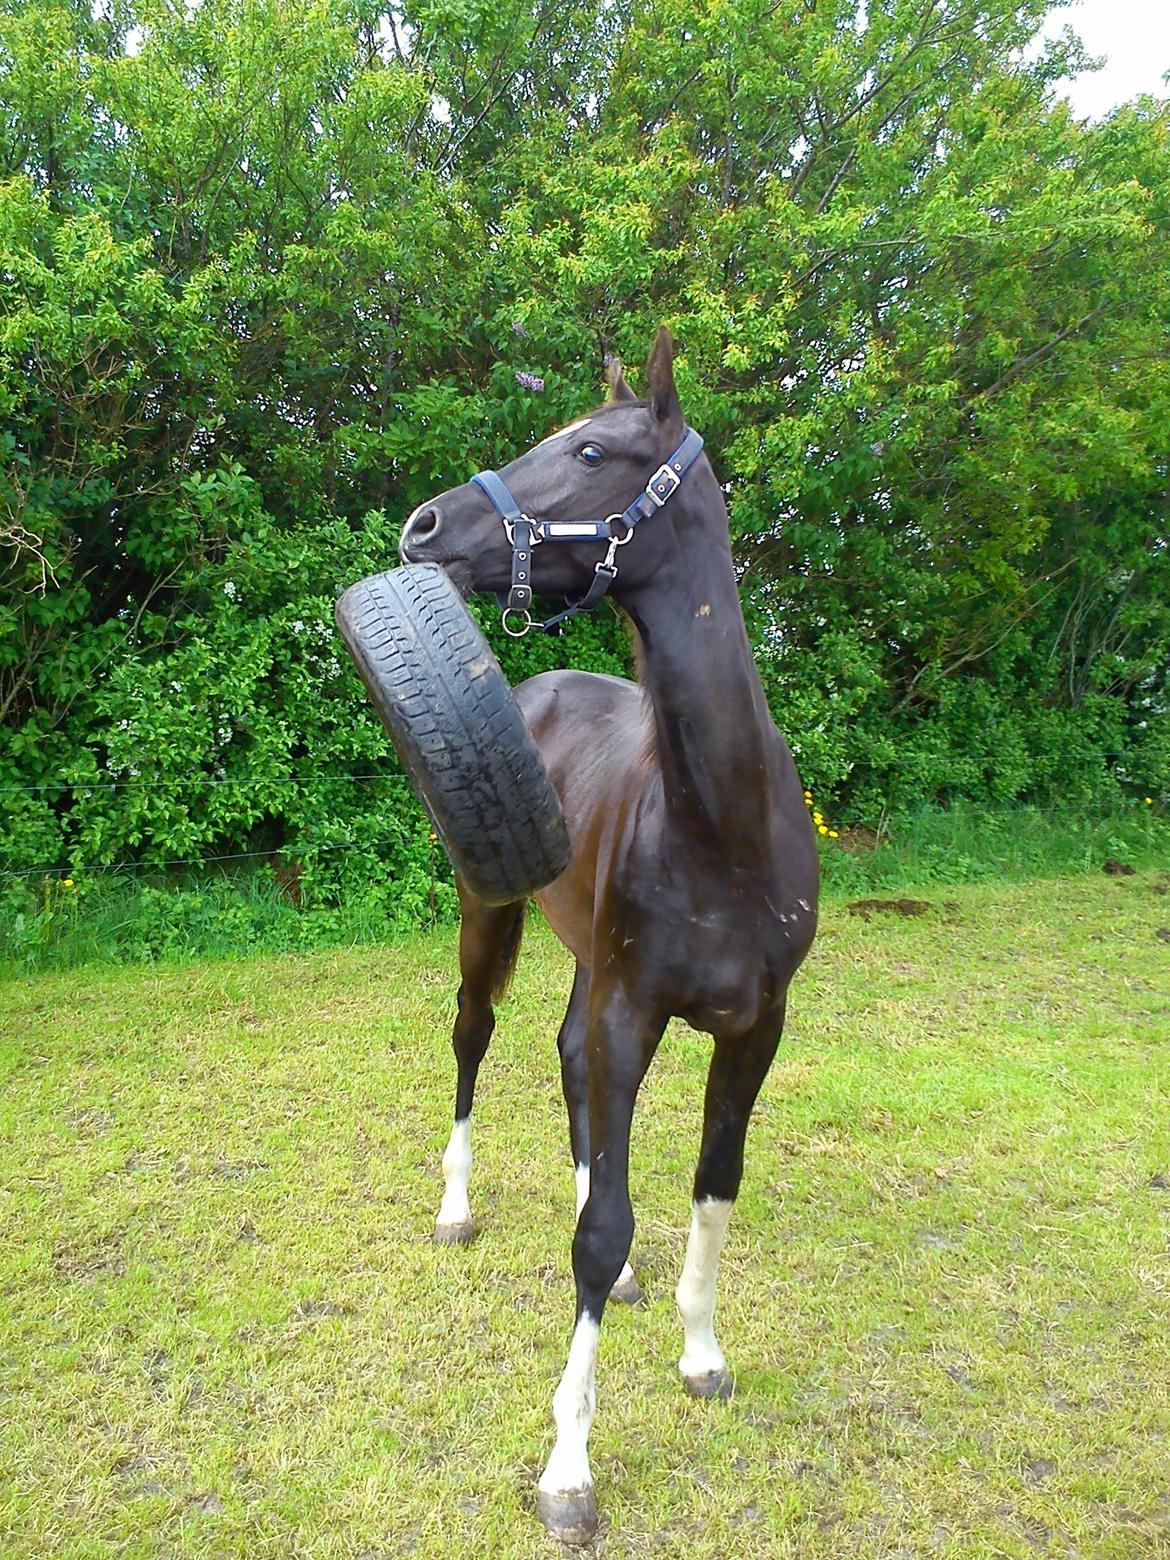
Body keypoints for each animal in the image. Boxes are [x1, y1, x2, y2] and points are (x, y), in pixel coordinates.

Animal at [399, 322, 817, 1541]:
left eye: (589, 451)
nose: (424, 528)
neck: (722, 826)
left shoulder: (755, 1029)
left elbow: (712, 1190)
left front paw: (701, 1353)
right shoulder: (637, 1011)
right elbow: (603, 1234)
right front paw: (569, 1466)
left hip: (587, 956)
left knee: (563, 1056)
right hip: (489, 914)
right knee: (476, 1039)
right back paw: (455, 1205)